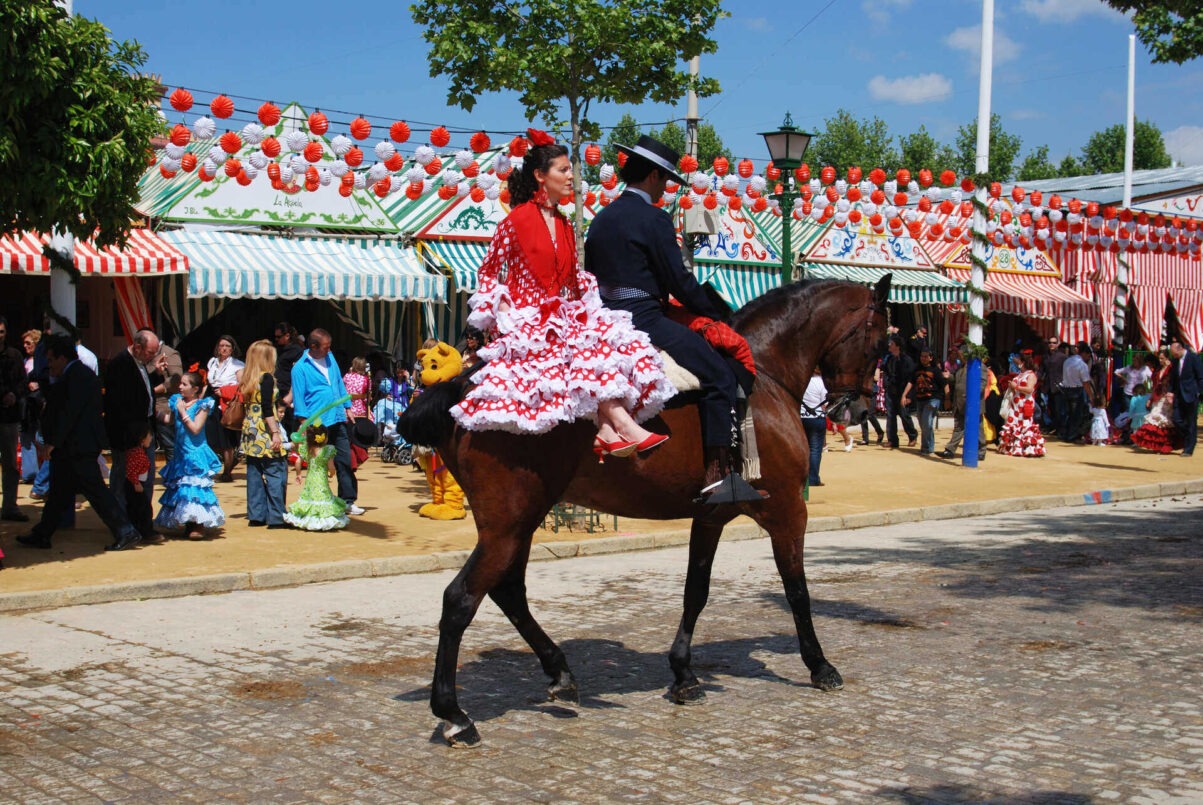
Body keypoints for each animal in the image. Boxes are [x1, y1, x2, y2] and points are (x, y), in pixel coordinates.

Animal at [401, 273, 895, 746]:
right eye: (879, 342)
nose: (859, 408)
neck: (764, 377)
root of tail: (460, 386)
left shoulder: (711, 515)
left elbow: (696, 591)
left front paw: (684, 674)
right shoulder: (788, 510)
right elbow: (797, 591)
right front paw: (820, 665)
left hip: (519, 521)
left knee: (508, 592)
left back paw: (560, 673)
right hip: (510, 523)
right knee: (461, 600)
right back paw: (455, 715)